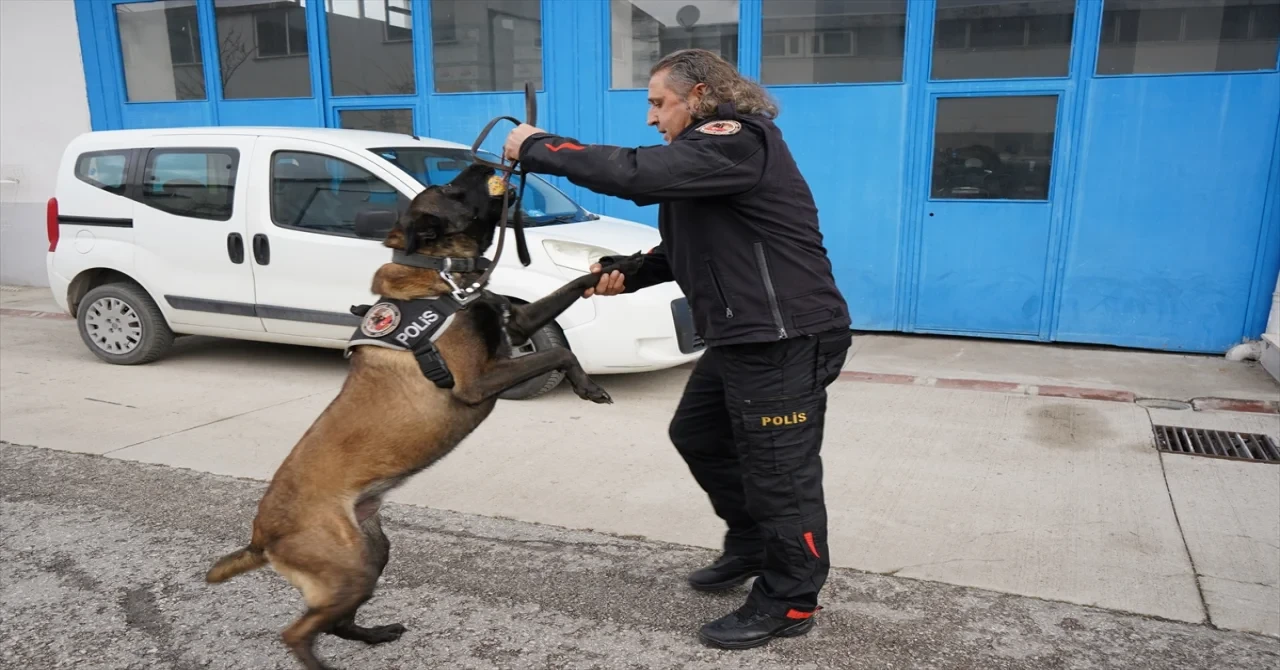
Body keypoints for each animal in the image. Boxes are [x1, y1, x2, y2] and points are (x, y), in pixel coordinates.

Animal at [207, 163, 640, 670]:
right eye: (452, 189)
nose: (482, 163)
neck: (444, 274)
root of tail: (261, 536)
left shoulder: (516, 327)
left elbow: (571, 292)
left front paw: (620, 266)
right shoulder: (478, 381)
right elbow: (560, 355)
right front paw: (588, 386)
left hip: (371, 554)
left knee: (333, 622)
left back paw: (376, 634)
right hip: (347, 568)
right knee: (297, 633)